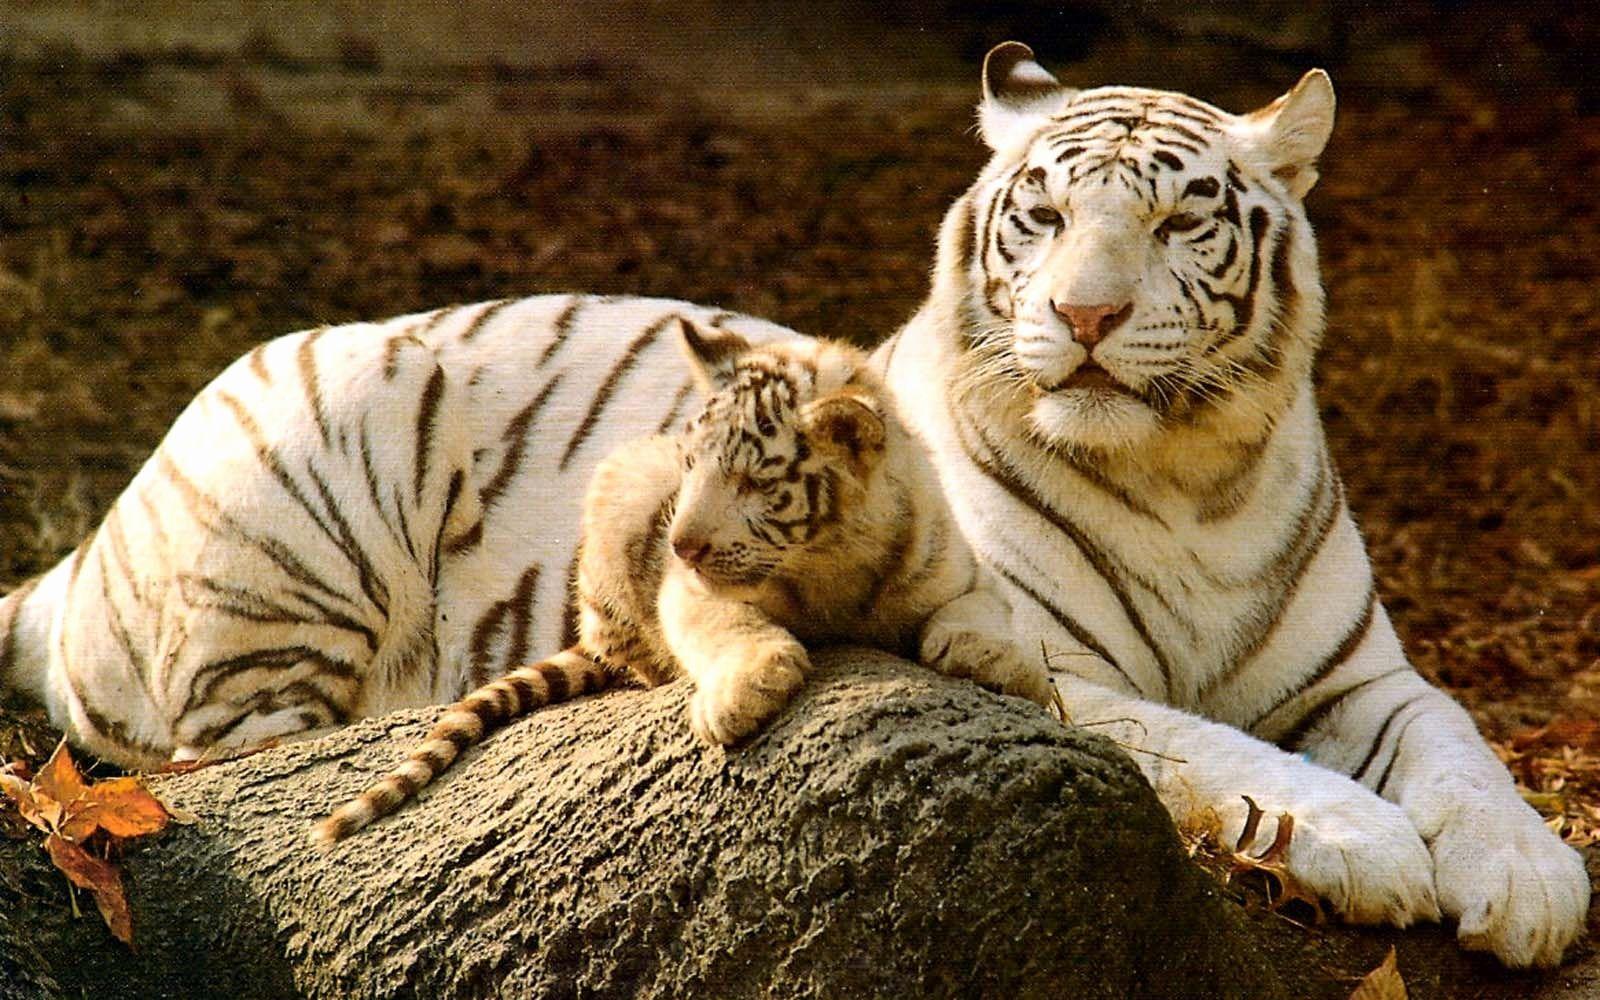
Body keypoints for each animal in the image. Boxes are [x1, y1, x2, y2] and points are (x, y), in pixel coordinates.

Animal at [309, 320, 1055, 844]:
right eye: (694, 463)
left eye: (753, 481)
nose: (681, 543)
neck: (829, 560)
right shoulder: (690, 589)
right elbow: (729, 625)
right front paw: (745, 694)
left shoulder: (956, 567)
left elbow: (982, 614)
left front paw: (1005, 664)